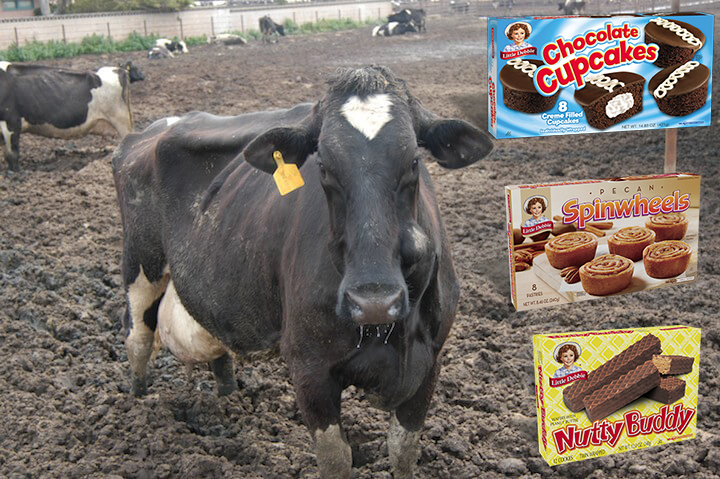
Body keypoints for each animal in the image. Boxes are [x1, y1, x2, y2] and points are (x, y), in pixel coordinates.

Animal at [112, 65, 493, 478]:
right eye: (323, 166)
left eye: (413, 162)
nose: (374, 302)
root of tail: (150, 130)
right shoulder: (309, 368)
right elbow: (336, 459)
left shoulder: (430, 362)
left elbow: (403, 450)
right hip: (140, 262)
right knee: (137, 336)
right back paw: (137, 405)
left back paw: (227, 400)